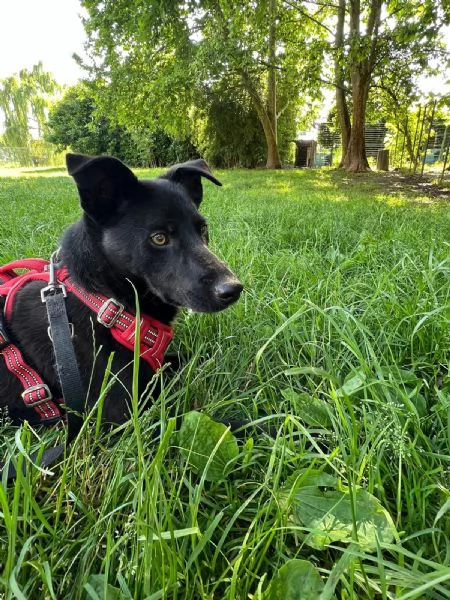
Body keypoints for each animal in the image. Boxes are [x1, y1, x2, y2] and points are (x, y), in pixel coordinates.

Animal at [0, 155, 243, 426]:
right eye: (159, 238)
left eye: (202, 229)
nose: (233, 289)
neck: (105, 302)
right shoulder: (132, 417)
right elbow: (233, 425)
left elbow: (191, 356)